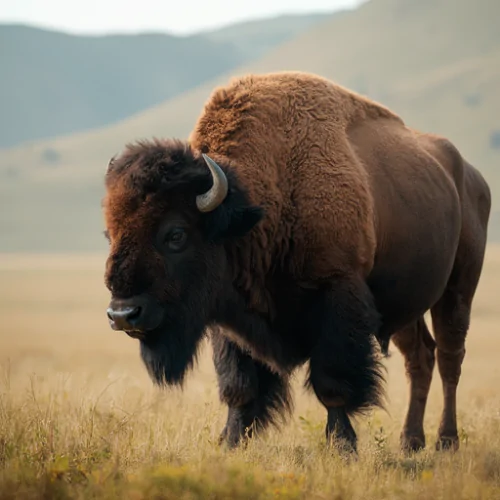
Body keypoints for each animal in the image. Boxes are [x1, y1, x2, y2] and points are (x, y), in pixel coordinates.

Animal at [102, 71, 492, 458]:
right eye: (109, 233)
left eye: (175, 234)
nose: (123, 315)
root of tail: (472, 177)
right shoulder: (230, 317)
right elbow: (239, 386)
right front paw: (230, 442)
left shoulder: (338, 296)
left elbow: (332, 383)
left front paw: (342, 445)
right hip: (405, 306)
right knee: (420, 357)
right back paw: (411, 441)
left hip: (458, 289)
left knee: (450, 357)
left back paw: (446, 441)